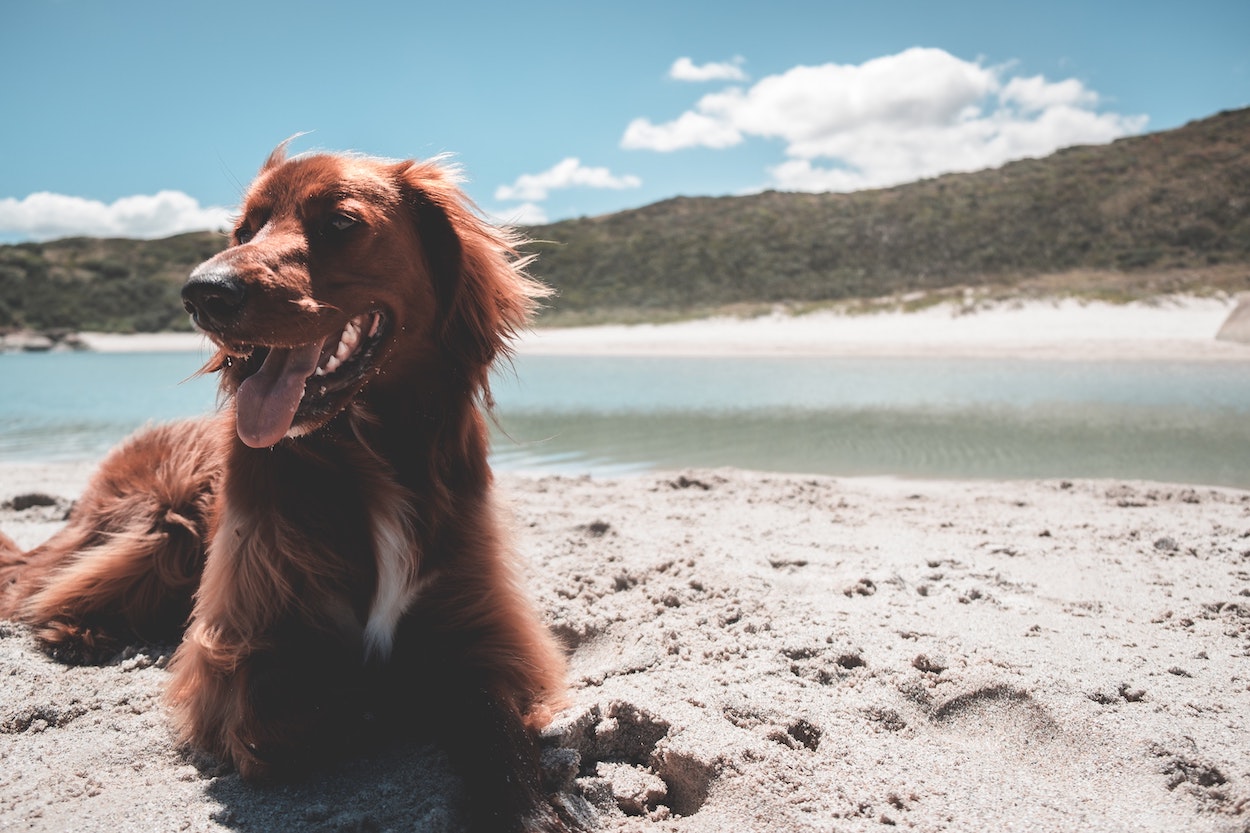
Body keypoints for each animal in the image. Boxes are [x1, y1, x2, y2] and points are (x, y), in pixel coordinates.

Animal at [0, 144, 572, 830]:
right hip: (160, 526)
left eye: (341, 223)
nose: (202, 293)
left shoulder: (484, 628)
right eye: (244, 231)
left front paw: (529, 806)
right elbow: (314, 707)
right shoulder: (234, 653)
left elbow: (493, 721)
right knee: (43, 585)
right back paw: (78, 632)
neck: (367, 450)